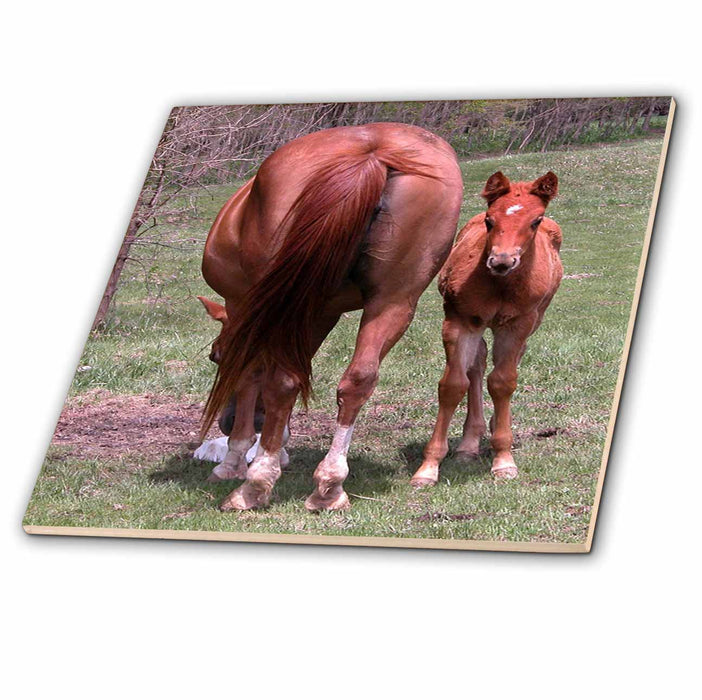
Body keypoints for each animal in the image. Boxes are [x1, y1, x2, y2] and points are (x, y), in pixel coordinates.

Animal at [198, 123, 464, 512]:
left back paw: (255, 485)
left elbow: (251, 375)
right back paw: (329, 484)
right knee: (356, 380)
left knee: (282, 380)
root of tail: (373, 151)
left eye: (214, 357)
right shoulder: (320, 312)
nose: (228, 422)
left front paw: (234, 459)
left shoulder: (246, 306)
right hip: (394, 300)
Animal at [410, 170, 564, 486]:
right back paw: (469, 444)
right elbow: (453, 384)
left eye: (536, 220)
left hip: (535, 319)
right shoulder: (460, 320)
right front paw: (428, 467)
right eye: (490, 220)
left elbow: (503, 382)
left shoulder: (517, 325)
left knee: (510, 360)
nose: (502, 261)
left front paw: (503, 460)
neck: (500, 286)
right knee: (478, 362)